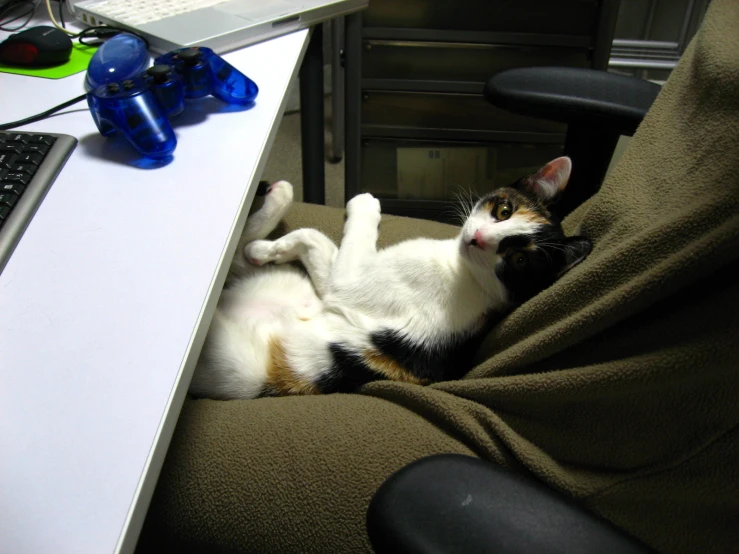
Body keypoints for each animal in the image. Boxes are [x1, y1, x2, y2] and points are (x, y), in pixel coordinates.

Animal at [192, 155, 596, 396]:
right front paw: (268, 247)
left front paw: (362, 205)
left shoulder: (345, 283)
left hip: (233, 362)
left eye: (519, 261)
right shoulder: (332, 286)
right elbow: (315, 242)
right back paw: (275, 199)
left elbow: (315, 235)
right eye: (504, 211)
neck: (464, 273)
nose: (479, 239)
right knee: (238, 247)